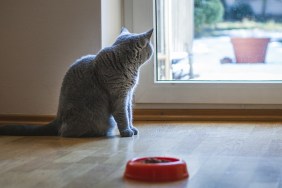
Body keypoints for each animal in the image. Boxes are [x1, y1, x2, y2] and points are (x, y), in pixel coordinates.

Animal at [0, 27, 154, 137]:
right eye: (151, 47)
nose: (153, 50)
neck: (130, 68)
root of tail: (57, 118)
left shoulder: (128, 94)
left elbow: (129, 113)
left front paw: (132, 128)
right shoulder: (119, 95)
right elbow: (123, 115)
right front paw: (126, 131)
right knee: (64, 133)